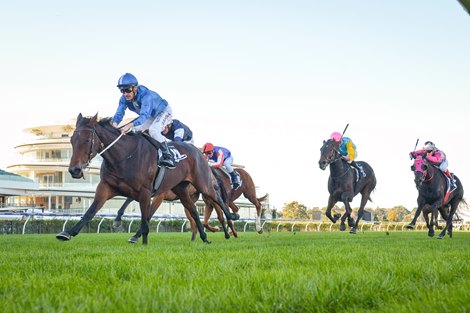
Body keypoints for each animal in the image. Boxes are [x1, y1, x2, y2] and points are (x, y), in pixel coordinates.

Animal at [56, 113, 237, 245]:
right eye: (71, 140)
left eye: (87, 140)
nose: (74, 170)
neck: (124, 156)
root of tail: (198, 152)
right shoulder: (106, 187)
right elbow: (90, 211)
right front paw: (68, 232)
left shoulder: (147, 191)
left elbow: (145, 216)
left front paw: (142, 241)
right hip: (182, 190)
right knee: (193, 210)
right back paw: (204, 237)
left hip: (203, 184)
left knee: (218, 199)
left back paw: (232, 219)